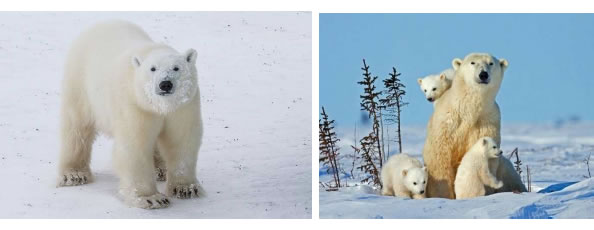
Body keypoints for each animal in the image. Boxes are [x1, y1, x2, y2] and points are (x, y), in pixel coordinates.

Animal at [56, 20, 204, 209]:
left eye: (176, 68)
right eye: (152, 69)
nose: (165, 84)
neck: (160, 106)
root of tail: (100, 25)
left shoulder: (183, 106)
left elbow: (182, 140)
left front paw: (186, 189)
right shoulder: (134, 104)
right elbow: (135, 146)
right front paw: (151, 198)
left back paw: (160, 169)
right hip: (80, 84)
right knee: (77, 129)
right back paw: (74, 174)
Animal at [418, 53, 506, 199]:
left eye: (491, 63)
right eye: (473, 62)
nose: (483, 74)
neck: (469, 110)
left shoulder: (487, 121)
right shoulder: (447, 123)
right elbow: (440, 158)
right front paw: (443, 195)